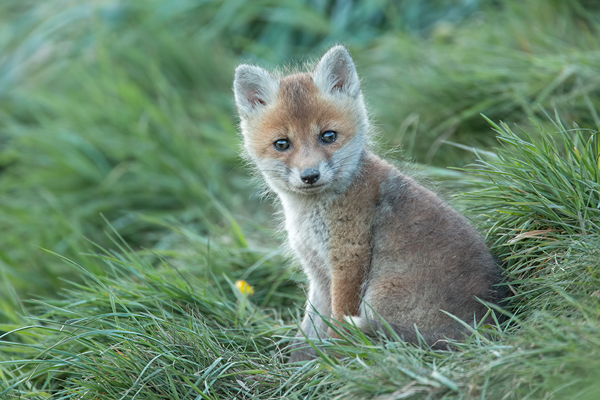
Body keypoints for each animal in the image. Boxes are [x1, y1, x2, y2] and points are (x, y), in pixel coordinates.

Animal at [232, 45, 504, 360]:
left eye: (328, 136)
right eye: (282, 144)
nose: (310, 175)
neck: (308, 216)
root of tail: (484, 326)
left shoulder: (348, 257)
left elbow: (338, 322)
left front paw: (336, 360)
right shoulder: (317, 273)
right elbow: (307, 332)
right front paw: (299, 366)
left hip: (379, 293)